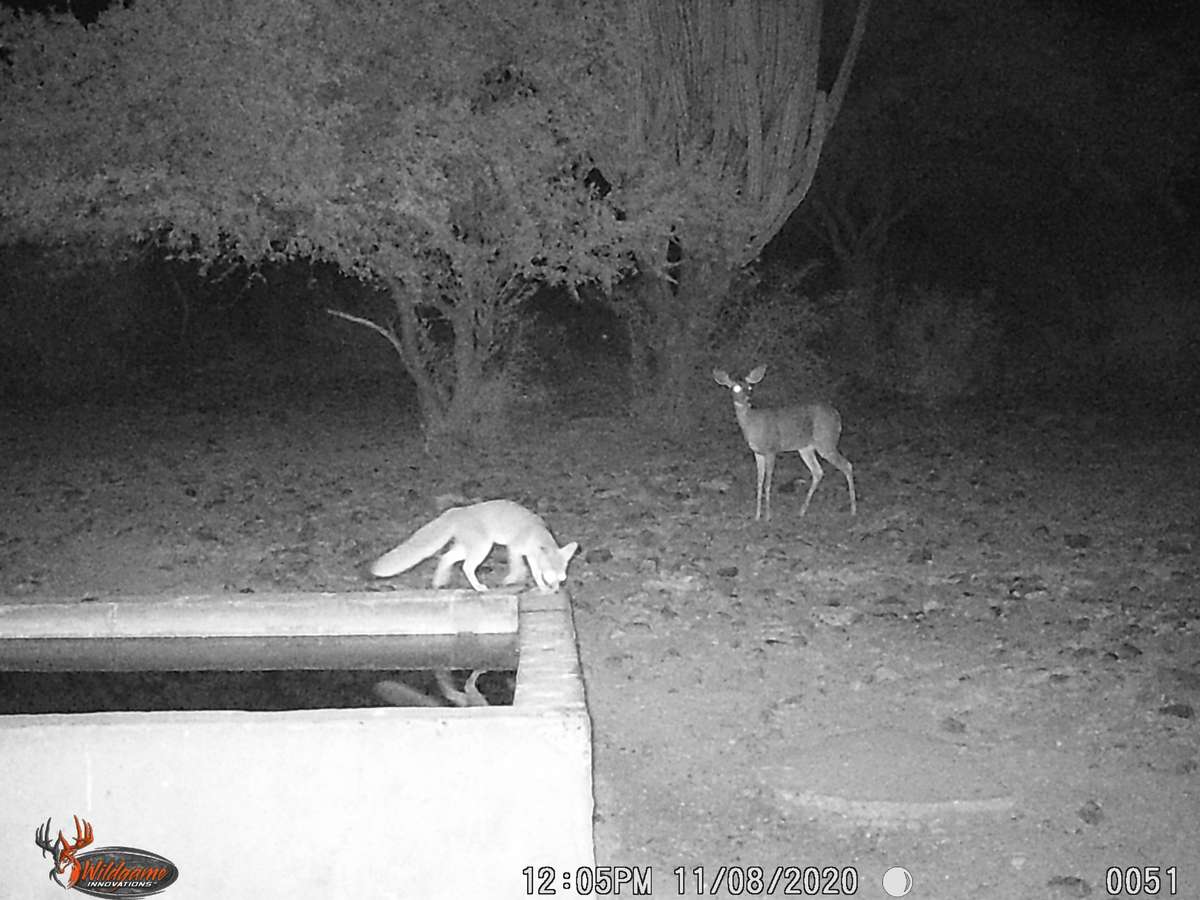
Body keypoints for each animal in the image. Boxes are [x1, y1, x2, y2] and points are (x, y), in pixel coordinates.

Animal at [369, 499, 579, 592]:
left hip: (467, 548)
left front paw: (542, 587)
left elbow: (534, 573)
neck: (536, 533)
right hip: (482, 549)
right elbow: (519, 568)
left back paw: (439, 581)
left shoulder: (531, 556)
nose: (557, 589)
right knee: (465, 567)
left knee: (446, 558)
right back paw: (478, 587)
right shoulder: (515, 549)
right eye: (553, 575)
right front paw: (512, 579)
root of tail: (455, 511)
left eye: (562, 577)